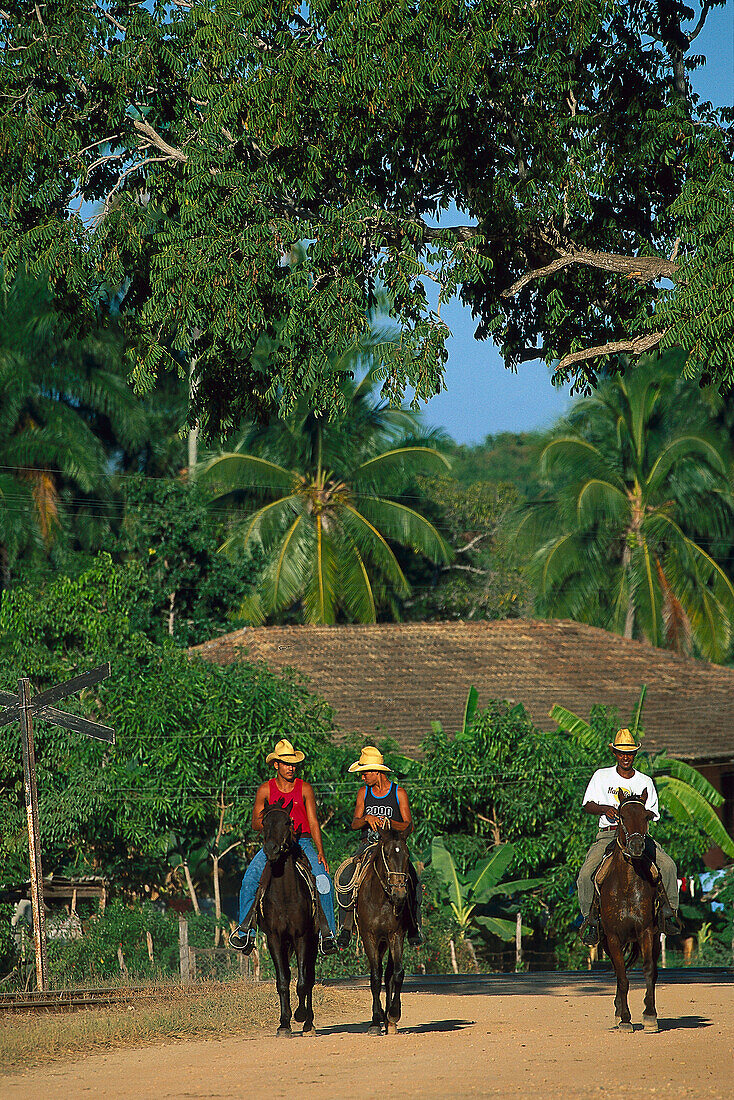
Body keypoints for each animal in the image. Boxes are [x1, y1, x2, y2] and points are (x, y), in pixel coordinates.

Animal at [255, 805, 319, 1034]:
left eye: (287, 822)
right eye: (264, 822)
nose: (271, 849)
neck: (285, 895)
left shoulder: (301, 936)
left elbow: (303, 982)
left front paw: (300, 1015)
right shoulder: (274, 938)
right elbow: (282, 981)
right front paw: (284, 1023)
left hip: (313, 941)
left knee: (309, 977)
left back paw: (309, 1022)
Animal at [352, 827, 411, 1034]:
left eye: (407, 855)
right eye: (386, 854)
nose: (399, 894)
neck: (381, 900)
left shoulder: (396, 935)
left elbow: (397, 974)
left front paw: (393, 1014)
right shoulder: (369, 937)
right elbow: (375, 977)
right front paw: (375, 1021)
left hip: (386, 941)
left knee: (389, 974)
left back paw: (389, 1022)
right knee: (378, 973)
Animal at [598, 792, 660, 1029]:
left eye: (646, 816)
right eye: (621, 816)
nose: (636, 846)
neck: (626, 883)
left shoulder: (646, 931)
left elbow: (649, 970)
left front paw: (650, 1015)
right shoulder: (613, 936)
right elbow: (622, 977)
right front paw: (624, 1018)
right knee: (618, 972)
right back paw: (618, 1012)